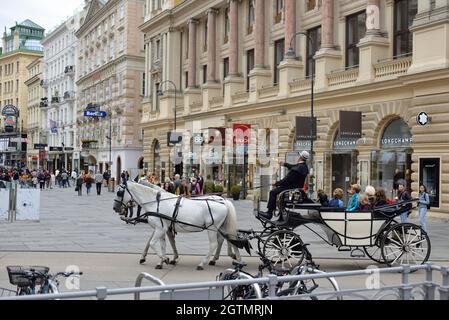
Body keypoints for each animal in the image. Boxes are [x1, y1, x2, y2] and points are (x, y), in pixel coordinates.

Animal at [114, 181, 243, 268]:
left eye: (119, 192)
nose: (115, 208)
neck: (156, 202)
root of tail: (223, 201)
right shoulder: (163, 229)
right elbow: (163, 245)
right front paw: (162, 261)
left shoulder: (160, 229)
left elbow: (152, 243)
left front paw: (164, 258)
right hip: (221, 227)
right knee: (226, 240)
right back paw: (229, 259)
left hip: (212, 228)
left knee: (214, 244)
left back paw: (203, 263)